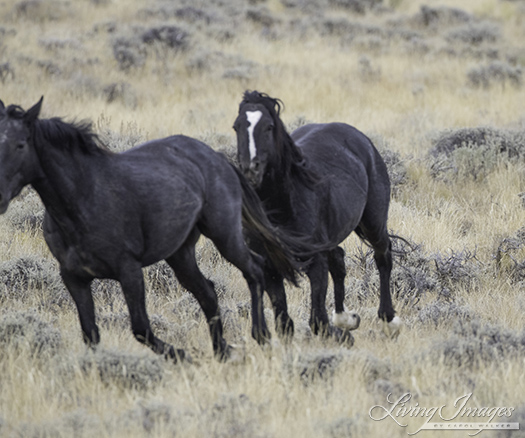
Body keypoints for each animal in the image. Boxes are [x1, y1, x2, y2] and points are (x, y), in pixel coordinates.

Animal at [0, 97, 308, 362]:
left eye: (21, 144)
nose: (0, 197)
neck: (84, 198)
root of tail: (218, 157)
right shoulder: (74, 277)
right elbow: (91, 334)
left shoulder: (129, 271)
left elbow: (141, 328)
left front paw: (184, 356)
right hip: (180, 253)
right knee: (208, 293)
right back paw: (222, 351)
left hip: (224, 235)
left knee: (254, 269)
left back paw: (261, 335)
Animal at [231, 90, 400, 338]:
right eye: (236, 126)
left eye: (269, 127)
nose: (251, 168)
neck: (283, 207)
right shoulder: (269, 267)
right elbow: (284, 323)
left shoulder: (315, 262)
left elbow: (317, 321)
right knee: (338, 259)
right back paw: (345, 318)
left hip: (373, 222)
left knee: (383, 256)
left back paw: (388, 319)